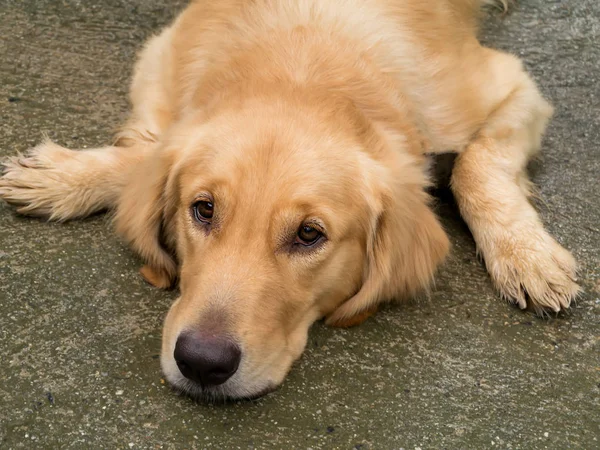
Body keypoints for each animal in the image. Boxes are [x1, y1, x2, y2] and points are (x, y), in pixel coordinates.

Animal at [0, 0, 580, 400]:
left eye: (308, 234)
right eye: (203, 209)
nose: (201, 362)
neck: (300, 68)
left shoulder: (510, 85)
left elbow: (475, 163)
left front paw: (525, 255)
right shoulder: (159, 58)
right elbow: (144, 150)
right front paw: (64, 175)